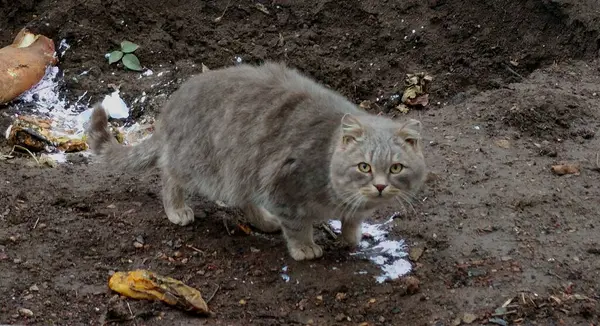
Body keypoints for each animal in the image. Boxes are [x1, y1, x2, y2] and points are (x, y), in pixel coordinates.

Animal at [88, 61, 426, 260]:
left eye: (395, 168)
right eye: (364, 167)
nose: (380, 186)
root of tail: (172, 104)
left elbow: (353, 219)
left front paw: (352, 235)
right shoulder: (284, 188)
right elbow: (298, 224)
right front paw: (304, 247)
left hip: (245, 170)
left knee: (245, 199)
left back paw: (263, 220)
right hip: (202, 165)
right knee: (170, 175)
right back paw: (177, 208)